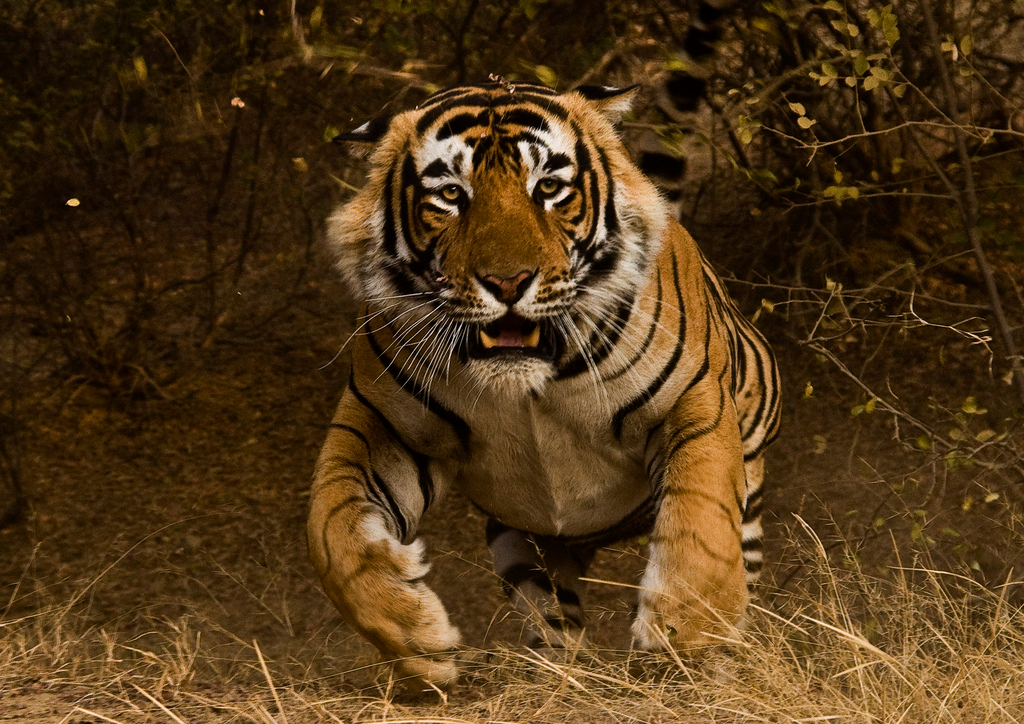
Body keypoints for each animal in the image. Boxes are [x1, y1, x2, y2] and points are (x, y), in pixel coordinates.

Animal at [307, 77, 778, 692]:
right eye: (452, 195)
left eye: (549, 188)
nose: (508, 282)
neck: (529, 385)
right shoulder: (381, 424)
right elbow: (329, 530)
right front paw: (415, 637)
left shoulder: (693, 401)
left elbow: (703, 517)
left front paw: (687, 633)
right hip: (524, 545)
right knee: (553, 614)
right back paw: (556, 674)